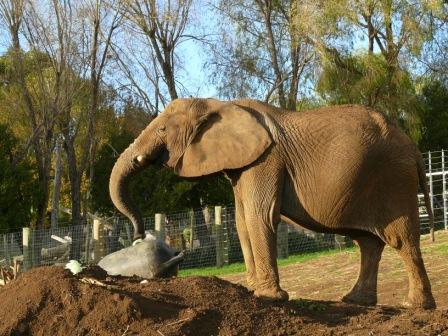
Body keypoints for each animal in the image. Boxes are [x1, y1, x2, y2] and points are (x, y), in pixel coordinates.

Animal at [110, 96, 436, 308]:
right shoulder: (243, 167)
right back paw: (355, 301)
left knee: (400, 239)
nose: (139, 235)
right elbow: (242, 222)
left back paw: (415, 306)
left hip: (394, 180)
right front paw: (252, 291)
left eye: (163, 129)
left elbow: (260, 217)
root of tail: (414, 148)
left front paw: (269, 298)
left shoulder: (266, 161)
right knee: (368, 242)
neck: (219, 103)